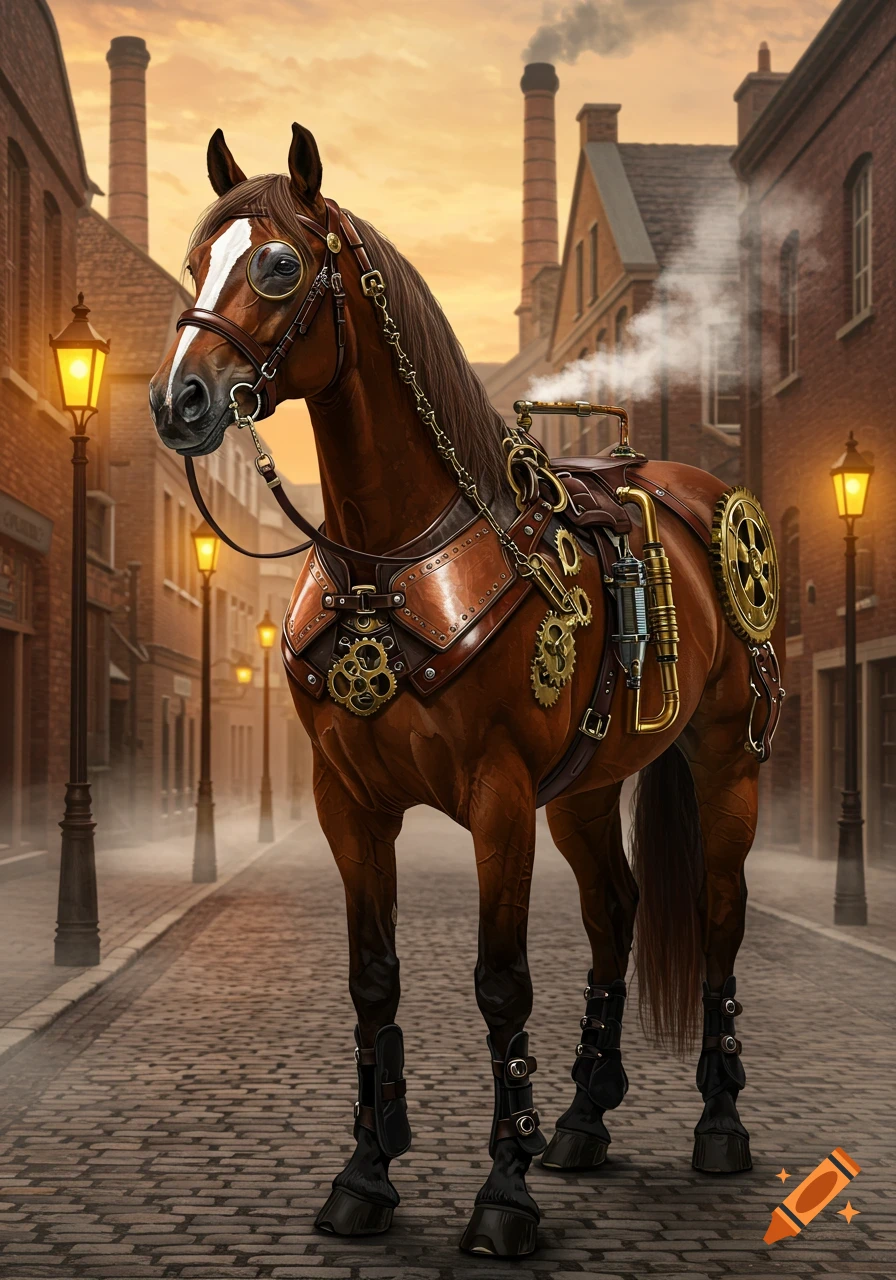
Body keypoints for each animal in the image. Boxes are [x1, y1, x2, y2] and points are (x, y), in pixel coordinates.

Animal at [149, 122, 784, 1259]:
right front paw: (364, 1174)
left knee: (716, 915)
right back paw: (581, 1120)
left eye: (278, 265)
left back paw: (716, 1124)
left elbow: (499, 983)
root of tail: (703, 499)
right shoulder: (348, 800)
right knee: (616, 911)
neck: (386, 554)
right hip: (586, 788)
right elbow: (373, 977)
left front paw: (503, 1194)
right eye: (194, 261)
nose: (177, 402)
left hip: (724, 762)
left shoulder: (497, 798)